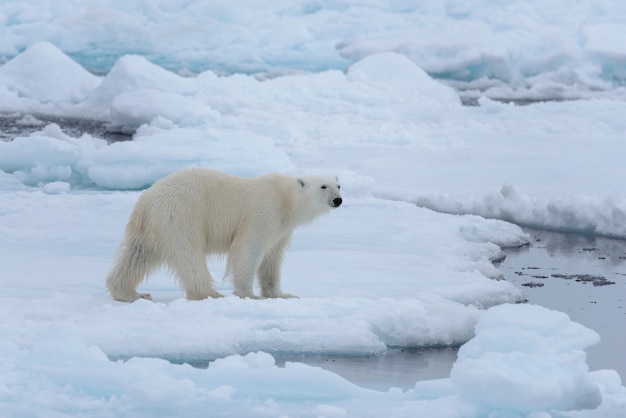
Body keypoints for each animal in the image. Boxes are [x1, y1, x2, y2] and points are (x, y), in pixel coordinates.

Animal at [106, 168, 342, 302]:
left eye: (339, 185)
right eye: (323, 186)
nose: (337, 200)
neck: (286, 200)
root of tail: (145, 200)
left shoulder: (282, 229)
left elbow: (272, 259)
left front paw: (282, 294)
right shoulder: (262, 212)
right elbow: (249, 249)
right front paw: (248, 294)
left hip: (150, 227)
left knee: (137, 256)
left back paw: (131, 293)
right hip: (182, 214)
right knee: (189, 254)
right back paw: (209, 293)